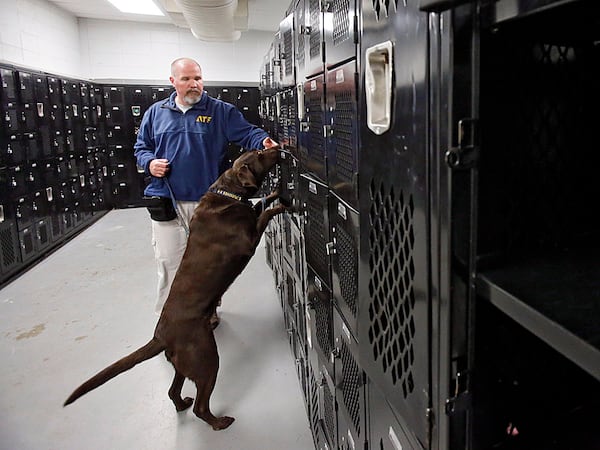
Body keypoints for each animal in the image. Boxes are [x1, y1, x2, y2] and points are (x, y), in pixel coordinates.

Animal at [64, 146, 288, 430]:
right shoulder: (248, 241)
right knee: (201, 407)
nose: (278, 147)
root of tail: (160, 336)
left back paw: (182, 404)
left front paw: (274, 192)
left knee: (173, 391)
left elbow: (259, 204)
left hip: (184, 363)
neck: (228, 192)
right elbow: (263, 213)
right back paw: (219, 422)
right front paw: (281, 203)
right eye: (259, 153)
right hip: (206, 359)